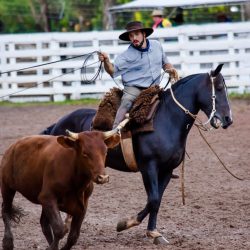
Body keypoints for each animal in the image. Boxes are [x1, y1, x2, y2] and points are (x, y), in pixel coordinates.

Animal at [40, 64, 232, 244]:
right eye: (219, 88)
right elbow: (153, 199)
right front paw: (126, 223)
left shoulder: (167, 170)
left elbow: (156, 200)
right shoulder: (149, 168)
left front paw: (153, 232)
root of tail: (58, 125)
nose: (228, 119)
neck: (167, 121)